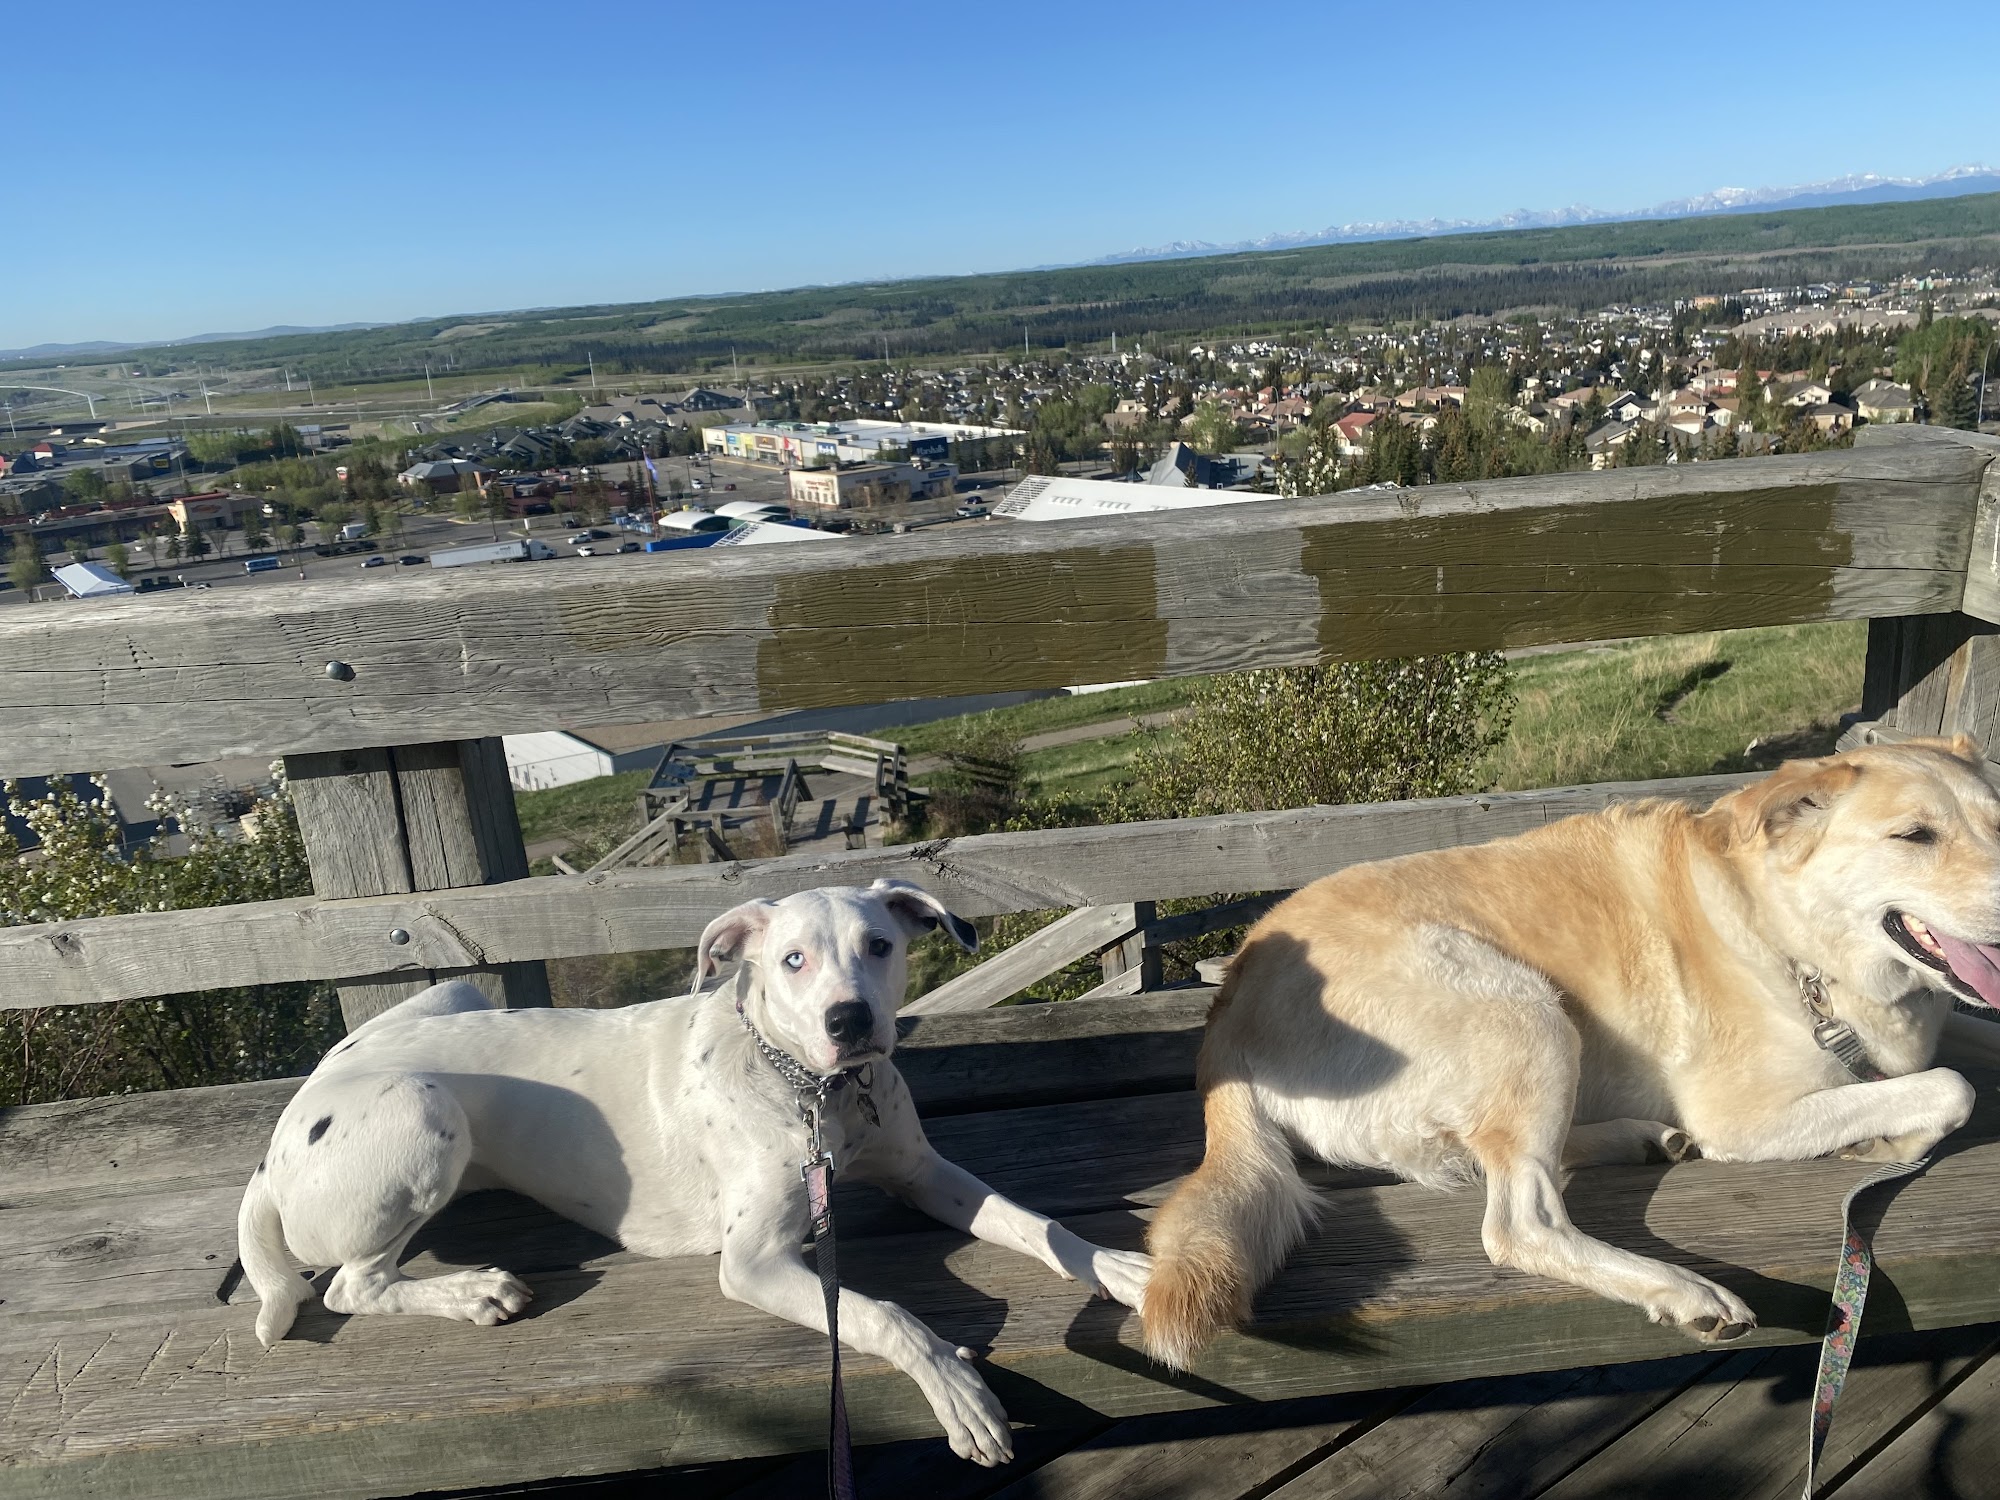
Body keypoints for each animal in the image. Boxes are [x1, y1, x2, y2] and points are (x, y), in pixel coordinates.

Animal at [237, 879, 1150, 1466]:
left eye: (880, 946)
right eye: (791, 960)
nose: (850, 1022)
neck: (811, 1088)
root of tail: (284, 1132)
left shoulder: (924, 1173)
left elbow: (1035, 1223)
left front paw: (1119, 1267)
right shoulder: (753, 1264)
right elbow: (882, 1312)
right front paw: (954, 1389)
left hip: (452, 1000)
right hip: (420, 1106)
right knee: (348, 1287)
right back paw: (472, 1293)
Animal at [1142, 738, 2000, 1369]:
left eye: (1997, 821)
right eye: (1914, 836)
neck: (1787, 932)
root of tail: (1226, 1021)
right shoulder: (1745, 1119)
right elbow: (1952, 1086)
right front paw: (1891, 1138)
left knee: (1511, 1161)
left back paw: (1639, 1138)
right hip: (1526, 1008)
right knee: (1520, 1221)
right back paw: (1685, 1290)